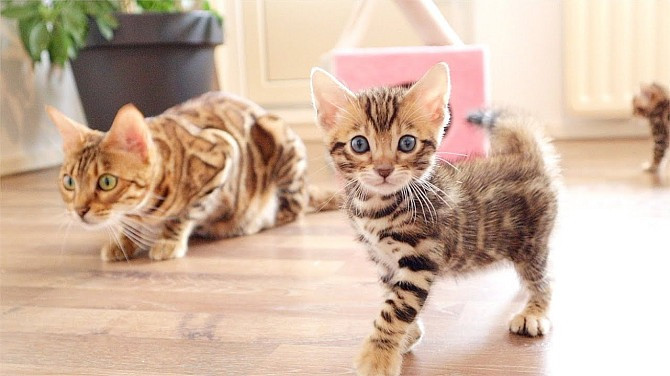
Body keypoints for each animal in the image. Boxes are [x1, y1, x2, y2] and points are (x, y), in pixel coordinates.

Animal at [47, 92, 342, 262]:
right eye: (69, 182)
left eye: (107, 182)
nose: (79, 211)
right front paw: (124, 241)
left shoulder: (222, 153)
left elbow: (184, 214)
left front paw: (167, 240)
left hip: (278, 135)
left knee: (294, 208)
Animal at [312, 62, 564, 376]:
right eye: (359, 144)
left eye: (407, 143)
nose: (383, 169)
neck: (377, 207)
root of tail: (526, 157)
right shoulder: (384, 261)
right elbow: (390, 295)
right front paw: (408, 336)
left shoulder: (419, 259)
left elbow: (395, 308)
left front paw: (378, 357)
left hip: (531, 242)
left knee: (543, 279)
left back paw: (534, 311)